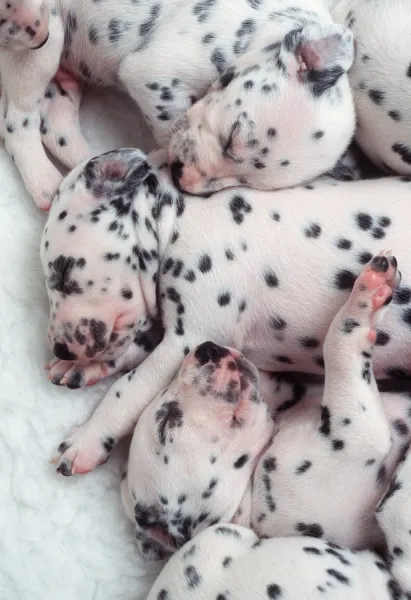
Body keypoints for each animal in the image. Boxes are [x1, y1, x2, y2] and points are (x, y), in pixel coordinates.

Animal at [0, 0, 358, 209]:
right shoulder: (151, 74)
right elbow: (167, 124)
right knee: (16, 123)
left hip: (64, 77)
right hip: (43, 38)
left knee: (54, 124)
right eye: (231, 138)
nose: (182, 178)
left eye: (246, 183)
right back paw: (44, 182)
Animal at [41, 150, 411, 482]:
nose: (60, 348)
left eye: (62, 273)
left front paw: (87, 438)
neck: (177, 221)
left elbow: (127, 389)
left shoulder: (187, 340)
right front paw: (81, 367)